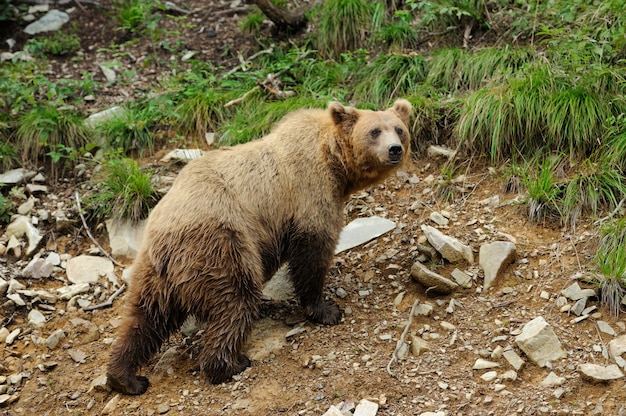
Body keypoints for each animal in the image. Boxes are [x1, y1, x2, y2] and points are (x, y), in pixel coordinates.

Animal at [106, 99, 410, 394]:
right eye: (374, 131)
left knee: (144, 319)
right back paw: (230, 364)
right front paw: (326, 309)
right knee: (235, 301)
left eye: (399, 128)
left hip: (155, 271)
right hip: (220, 246)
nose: (395, 149)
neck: (334, 162)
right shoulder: (309, 191)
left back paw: (126, 378)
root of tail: (164, 243)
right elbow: (312, 252)